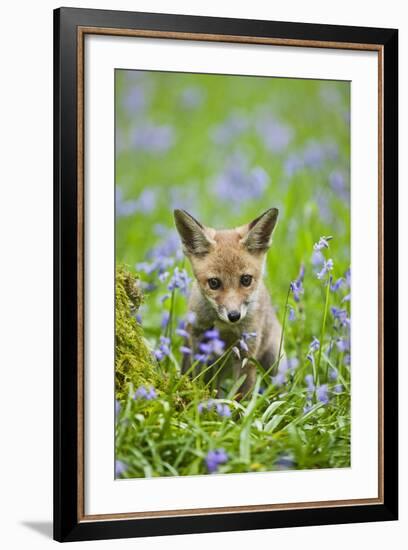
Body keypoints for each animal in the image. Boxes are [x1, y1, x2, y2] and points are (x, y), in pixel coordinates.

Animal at [173, 207, 284, 396]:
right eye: (214, 283)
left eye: (246, 280)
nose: (234, 316)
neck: (225, 329)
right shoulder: (198, 339)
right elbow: (201, 381)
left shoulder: (247, 351)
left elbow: (241, 395)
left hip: (274, 359)